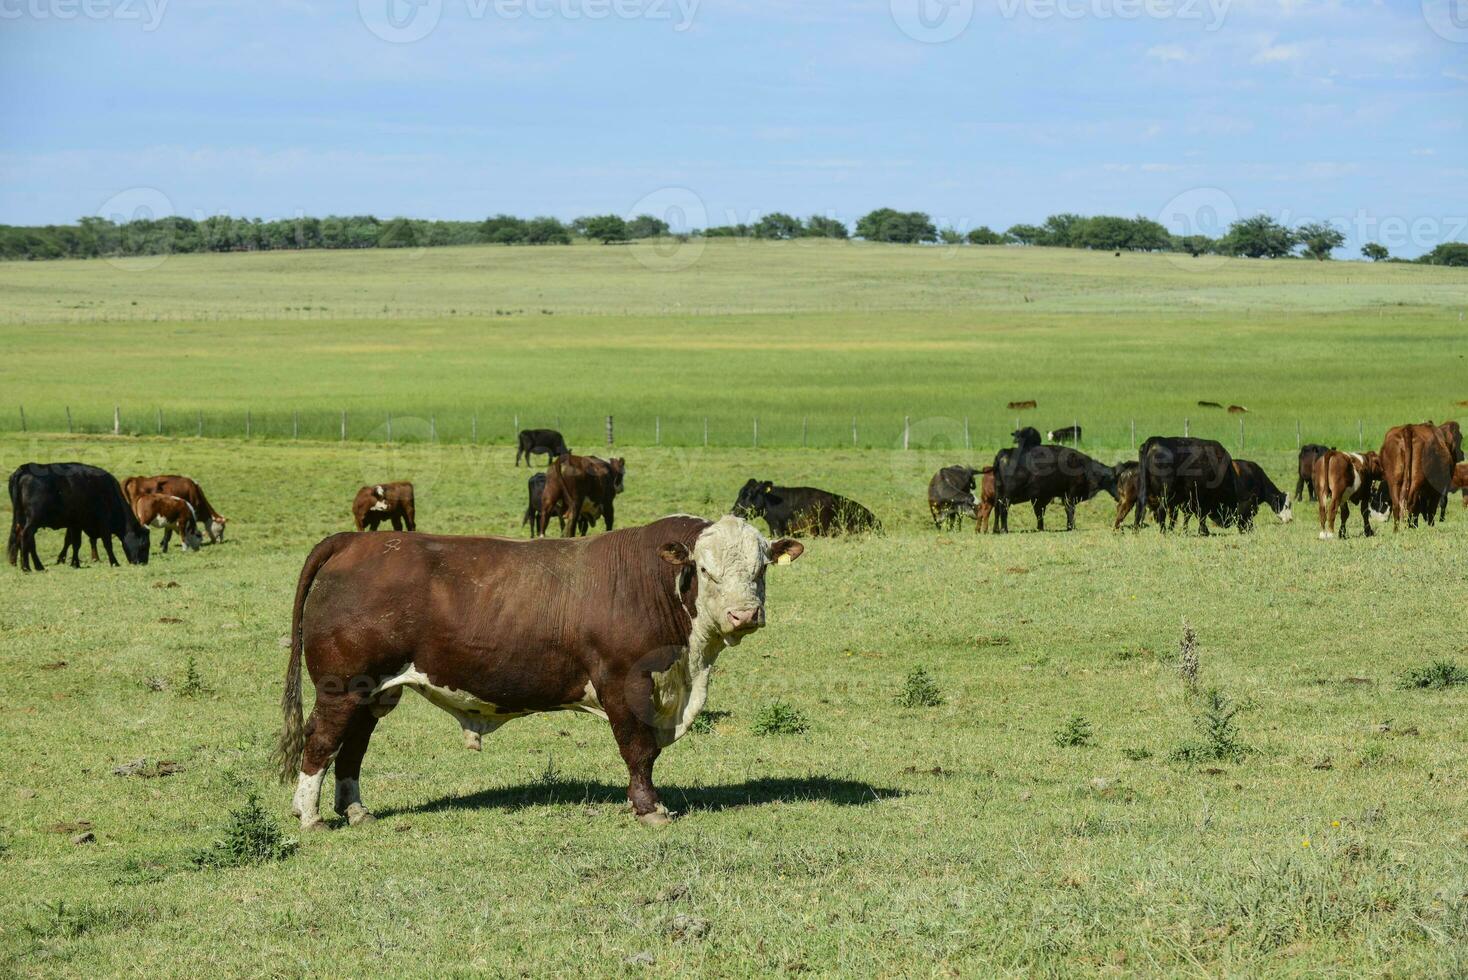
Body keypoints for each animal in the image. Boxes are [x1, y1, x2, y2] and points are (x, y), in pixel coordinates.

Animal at [7, 460, 149, 569]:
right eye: (144, 545)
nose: (143, 563)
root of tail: (26, 468)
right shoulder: (103, 523)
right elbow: (107, 543)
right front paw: (114, 562)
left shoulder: (75, 523)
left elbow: (74, 543)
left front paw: (74, 563)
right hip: (33, 520)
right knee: (26, 537)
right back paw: (28, 567)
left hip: (22, 520)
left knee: (23, 538)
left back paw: (33, 566)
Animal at [275, 516, 804, 833]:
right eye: (706, 570)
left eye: (760, 569)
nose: (745, 614)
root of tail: (356, 540)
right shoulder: (624, 684)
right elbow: (639, 750)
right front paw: (649, 808)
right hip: (343, 686)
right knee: (321, 741)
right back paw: (311, 816)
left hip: (375, 692)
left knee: (353, 746)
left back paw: (356, 810)